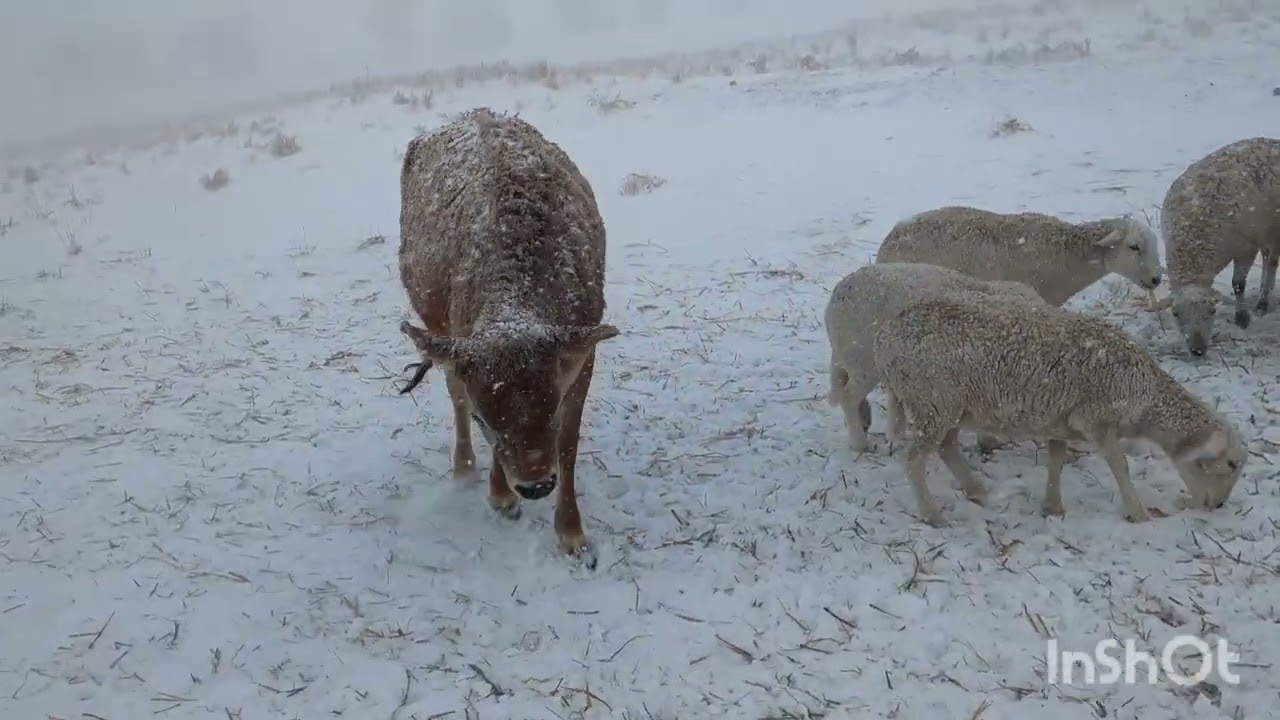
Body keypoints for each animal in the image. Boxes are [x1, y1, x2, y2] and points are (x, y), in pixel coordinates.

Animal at [397, 108, 619, 568]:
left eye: (551, 406)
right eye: (487, 419)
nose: (535, 485)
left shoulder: (583, 353)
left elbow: (568, 445)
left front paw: (573, 537)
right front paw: (501, 497)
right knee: (453, 390)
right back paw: (464, 467)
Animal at [872, 293, 1246, 526]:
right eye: (1229, 464)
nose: (1218, 506)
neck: (1146, 398)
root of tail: (885, 336)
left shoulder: (1060, 421)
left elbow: (1056, 461)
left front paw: (1052, 506)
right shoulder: (1097, 419)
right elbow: (1120, 466)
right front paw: (1138, 513)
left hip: (948, 406)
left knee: (947, 448)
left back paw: (977, 489)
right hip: (934, 400)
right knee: (914, 459)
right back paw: (931, 514)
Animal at [1155, 136, 1280, 356]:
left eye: (1213, 311)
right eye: (1176, 314)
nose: (1198, 350)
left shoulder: (1245, 248)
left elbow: (1238, 284)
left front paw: (1242, 317)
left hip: (1274, 228)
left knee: (1272, 260)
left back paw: (1263, 301)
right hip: (1264, 230)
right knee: (1267, 259)